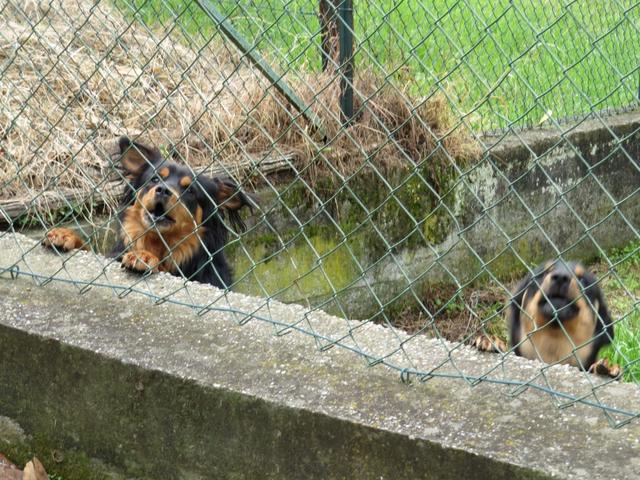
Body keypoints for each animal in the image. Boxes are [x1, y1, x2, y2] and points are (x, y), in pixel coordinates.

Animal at [41, 137, 256, 290]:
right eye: (154, 179)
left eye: (190, 190)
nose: (163, 190)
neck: (157, 242)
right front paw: (64, 234)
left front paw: (143, 257)